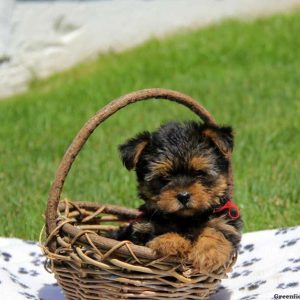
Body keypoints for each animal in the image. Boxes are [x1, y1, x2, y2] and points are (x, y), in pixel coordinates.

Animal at [113, 120, 243, 274]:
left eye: (199, 173)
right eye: (164, 178)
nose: (183, 196)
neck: (186, 219)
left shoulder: (225, 223)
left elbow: (216, 231)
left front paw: (209, 253)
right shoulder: (142, 228)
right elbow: (159, 233)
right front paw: (170, 242)